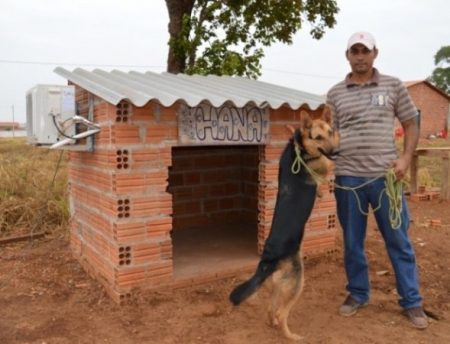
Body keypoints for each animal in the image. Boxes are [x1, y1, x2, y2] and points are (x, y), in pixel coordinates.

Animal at [230, 109, 340, 340]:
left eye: (329, 132)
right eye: (318, 137)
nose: (336, 152)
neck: (300, 149)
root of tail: (267, 262)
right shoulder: (324, 164)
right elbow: (328, 168)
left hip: (278, 286)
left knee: (271, 309)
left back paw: (273, 324)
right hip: (298, 282)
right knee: (281, 313)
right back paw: (292, 336)